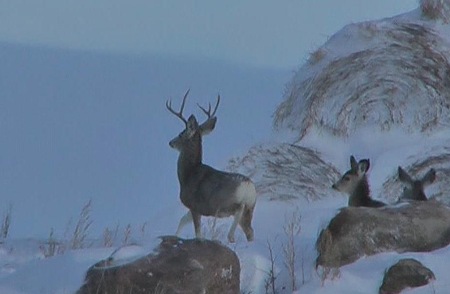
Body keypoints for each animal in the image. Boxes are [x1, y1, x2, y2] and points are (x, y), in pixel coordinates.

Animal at [166, 90, 256, 242]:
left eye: (181, 133)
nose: (170, 142)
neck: (188, 174)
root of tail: (248, 187)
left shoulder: (194, 205)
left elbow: (198, 233)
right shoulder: (197, 208)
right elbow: (182, 220)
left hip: (226, 203)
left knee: (238, 210)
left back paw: (230, 236)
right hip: (250, 209)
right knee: (250, 231)